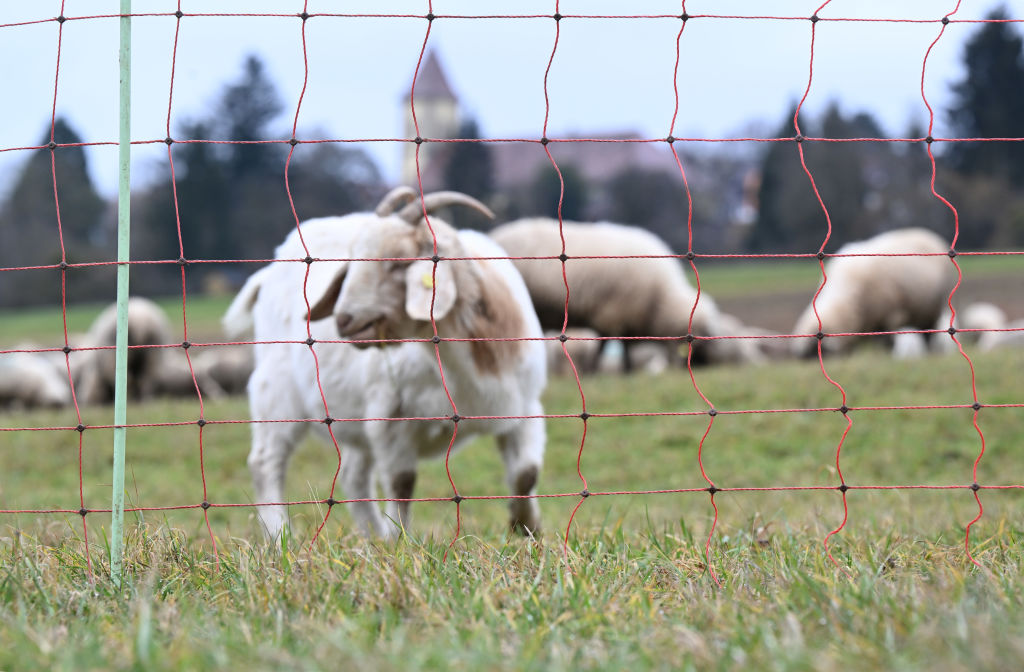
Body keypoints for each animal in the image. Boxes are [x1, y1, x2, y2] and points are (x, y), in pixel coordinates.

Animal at [223, 187, 544, 540]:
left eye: (397, 263)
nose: (344, 320)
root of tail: (267, 271)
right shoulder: (391, 416)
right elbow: (402, 483)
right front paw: (400, 539)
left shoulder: (524, 405)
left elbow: (526, 473)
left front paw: (526, 527)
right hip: (276, 391)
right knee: (265, 461)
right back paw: (281, 536)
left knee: (353, 474)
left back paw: (371, 536)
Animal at [487, 218, 761, 370]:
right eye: (703, 343)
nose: (703, 368)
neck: (660, 299)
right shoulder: (615, 312)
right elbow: (611, 345)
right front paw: (605, 370)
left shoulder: (621, 316)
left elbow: (618, 344)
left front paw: (617, 369)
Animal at [786, 228, 954, 356]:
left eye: (823, 356)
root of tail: (928, 234)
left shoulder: (890, 316)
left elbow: (887, 342)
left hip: (932, 308)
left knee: (928, 334)